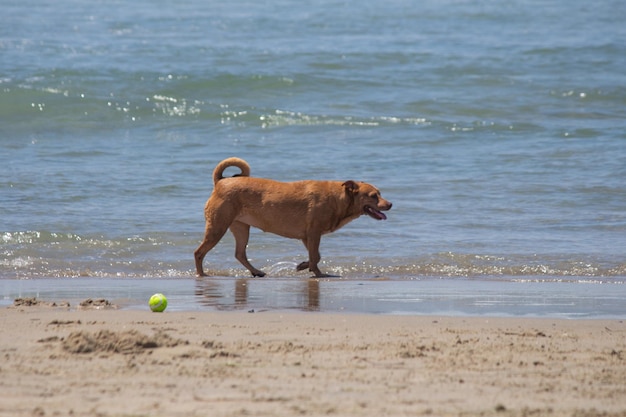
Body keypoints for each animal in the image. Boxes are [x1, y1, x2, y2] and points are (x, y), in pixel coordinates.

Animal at [193, 158, 392, 278]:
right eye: (373, 196)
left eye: (380, 193)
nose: (390, 204)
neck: (339, 198)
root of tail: (221, 182)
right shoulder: (313, 233)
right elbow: (316, 256)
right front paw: (317, 273)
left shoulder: (307, 236)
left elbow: (316, 256)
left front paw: (305, 266)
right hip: (217, 227)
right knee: (199, 252)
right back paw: (201, 275)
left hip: (241, 227)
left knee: (240, 253)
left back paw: (257, 272)